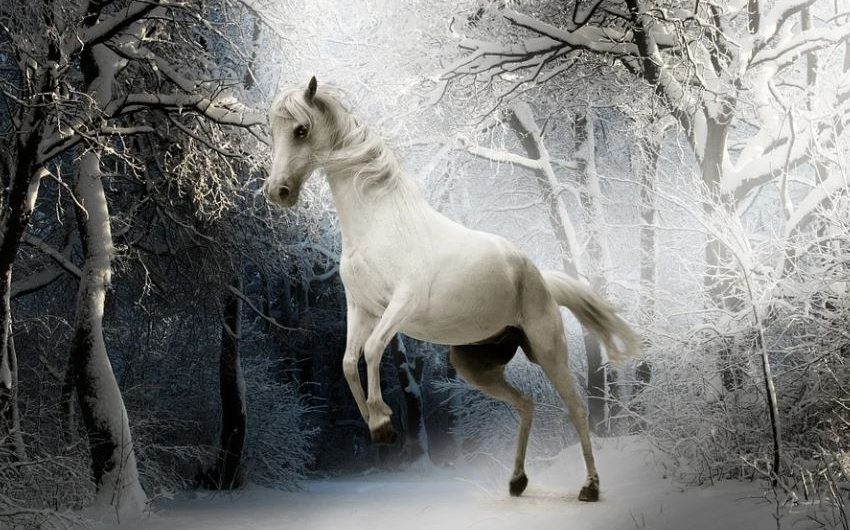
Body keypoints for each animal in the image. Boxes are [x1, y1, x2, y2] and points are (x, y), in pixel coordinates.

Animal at [264, 76, 639, 502]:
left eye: (301, 130)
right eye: (272, 130)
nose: (277, 192)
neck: (380, 224)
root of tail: (539, 276)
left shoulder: (401, 304)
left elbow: (372, 350)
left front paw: (383, 420)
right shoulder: (361, 308)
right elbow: (347, 362)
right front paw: (376, 425)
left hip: (549, 351)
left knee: (576, 409)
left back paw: (589, 487)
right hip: (474, 366)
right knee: (526, 404)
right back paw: (517, 482)